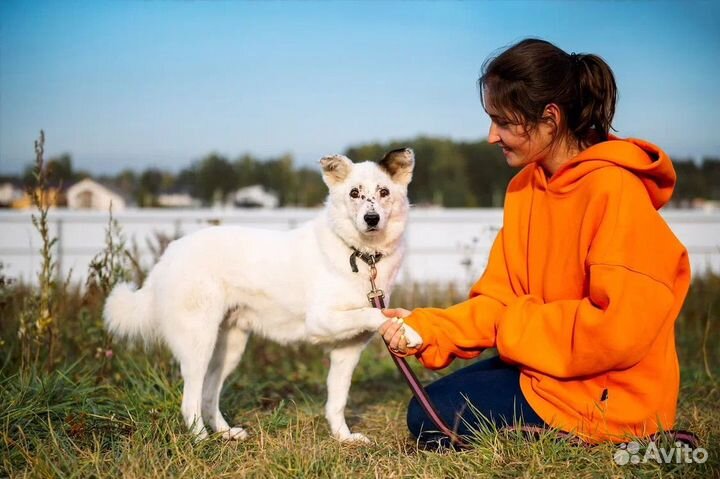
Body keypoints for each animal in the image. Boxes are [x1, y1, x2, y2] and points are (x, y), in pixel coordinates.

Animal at [105, 148, 424, 444]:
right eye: (354, 193)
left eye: (384, 192)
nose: (371, 218)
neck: (361, 254)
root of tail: (169, 254)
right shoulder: (320, 320)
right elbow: (374, 312)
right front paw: (409, 332)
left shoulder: (347, 350)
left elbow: (337, 401)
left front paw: (343, 438)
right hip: (199, 343)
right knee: (191, 400)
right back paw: (201, 440)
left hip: (230, 348)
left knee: (209, 395)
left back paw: (226, 433)